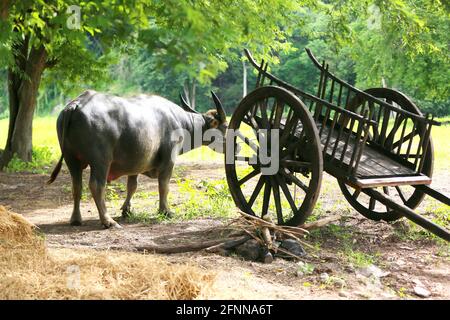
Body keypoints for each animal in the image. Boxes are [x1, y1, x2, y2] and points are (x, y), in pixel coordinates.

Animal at [47, 90, 227, 229]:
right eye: (225, 127)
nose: (232, 145)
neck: (181, 122)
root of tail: (76, 105)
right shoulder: (168, 161)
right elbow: (164, 186)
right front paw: (165, 211)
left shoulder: (135, 163)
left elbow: (132, 186)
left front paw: (127, 209)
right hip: (101, 160)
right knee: (96, 185)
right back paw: (108, 221)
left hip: (71, 159)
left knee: (76, 186)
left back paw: (76, 219)